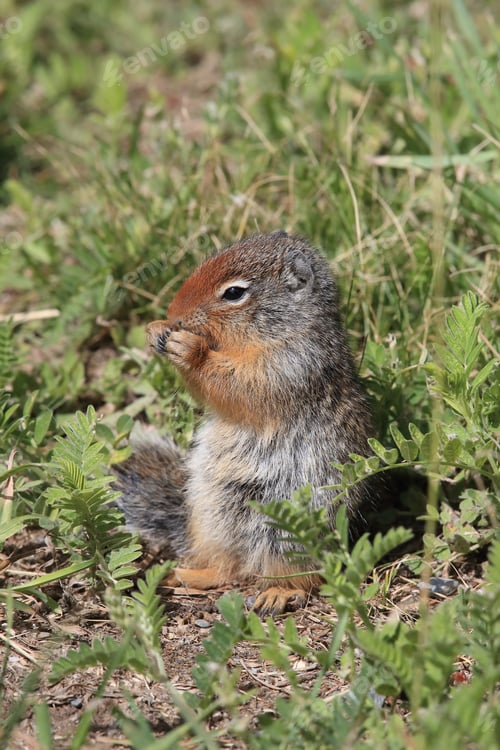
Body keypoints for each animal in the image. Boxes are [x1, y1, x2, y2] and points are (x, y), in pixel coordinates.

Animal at [115, 231, 382, 615]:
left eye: (233, 293)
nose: (172, 313)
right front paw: (156, 330)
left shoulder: (290, 366)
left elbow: (241, 385)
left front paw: (190, 349)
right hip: (212, 515)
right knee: (228, 568)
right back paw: (188, 575)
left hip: (287, 532)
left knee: (297, 577)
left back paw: (278, 593)